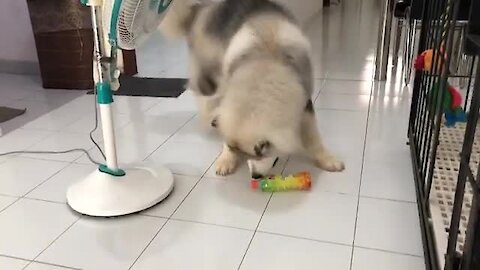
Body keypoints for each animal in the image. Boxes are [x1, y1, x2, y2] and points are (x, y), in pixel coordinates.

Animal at [161, 0, 344, 177]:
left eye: (260, 155)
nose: (255, 176)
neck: (266, 64)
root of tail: (200, 9)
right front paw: (226, 158)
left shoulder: (305, 100)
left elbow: (314, 137)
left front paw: (327, 159)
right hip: (210, 75)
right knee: (205, 97)